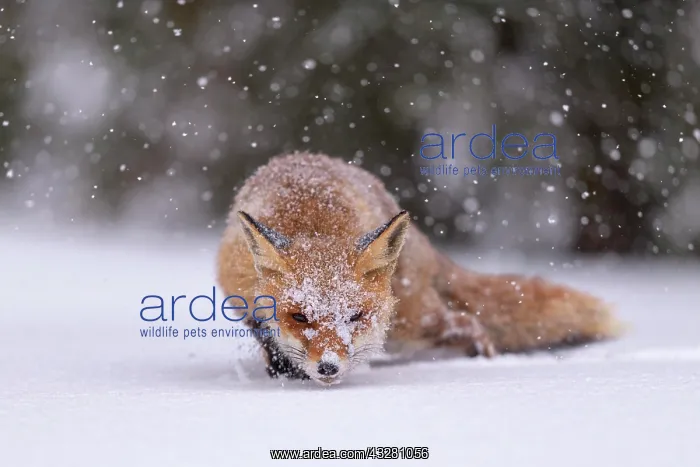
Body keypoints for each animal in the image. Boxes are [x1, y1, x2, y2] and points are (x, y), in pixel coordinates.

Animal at [217, 152, 621, 386]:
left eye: (355, 316)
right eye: (300, 317)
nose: (328, 368)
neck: (312, 219)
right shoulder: (240, 296)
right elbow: (268, 337)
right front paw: (285, 369)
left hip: (411, 323)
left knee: (470, 325)